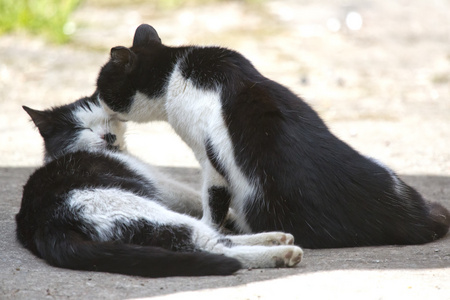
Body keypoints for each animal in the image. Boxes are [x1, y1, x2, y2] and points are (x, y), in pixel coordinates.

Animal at [16, 95, 302, 278]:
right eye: (83, 127)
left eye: (109, 120)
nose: (109, 136)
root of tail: (49, 225)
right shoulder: (159, 182)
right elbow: (192, 197)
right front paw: (233, 215)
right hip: (139, 208)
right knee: (213, 244)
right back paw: (282, 253)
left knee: (211, 239)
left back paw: (276, 238)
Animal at [96, 24, 448, 248]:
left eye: (102, 87)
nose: (95, 98)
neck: (175, 71)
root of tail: (412, 218)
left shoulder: (211, 161)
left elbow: (213, 204)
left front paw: (211, 226)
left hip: (255, 199)